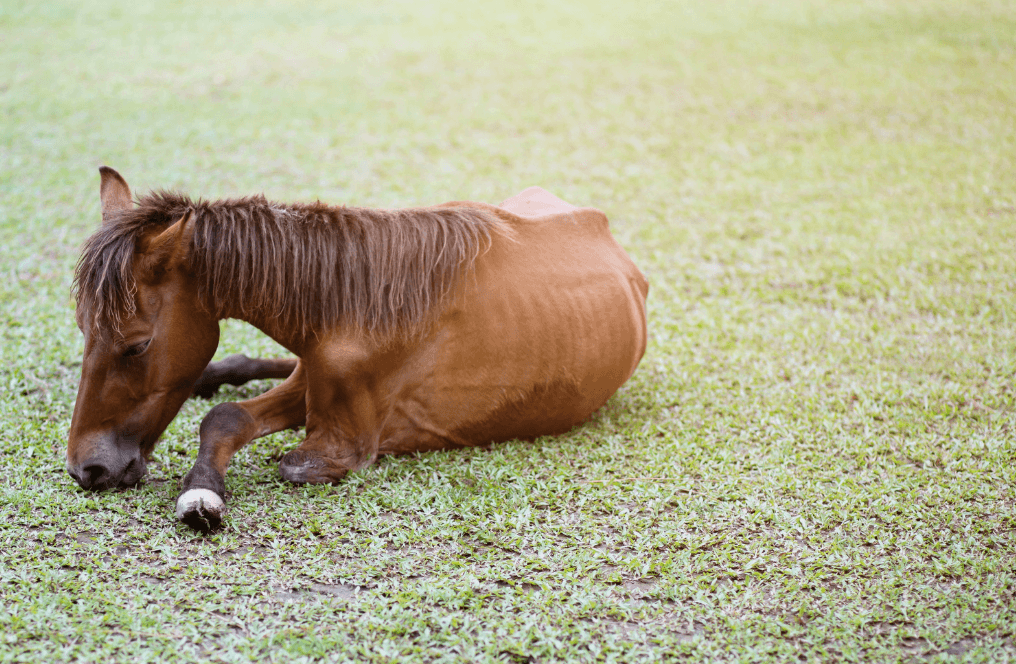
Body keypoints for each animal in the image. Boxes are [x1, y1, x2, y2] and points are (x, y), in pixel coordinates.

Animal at [68, 167, 649, 531]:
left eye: (137, 346)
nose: (85, 469)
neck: (354, 305)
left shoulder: (340, 445)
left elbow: (283, 458)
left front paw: (201, 496)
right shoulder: (309, 382)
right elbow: (226, 417)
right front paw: (202, 488)